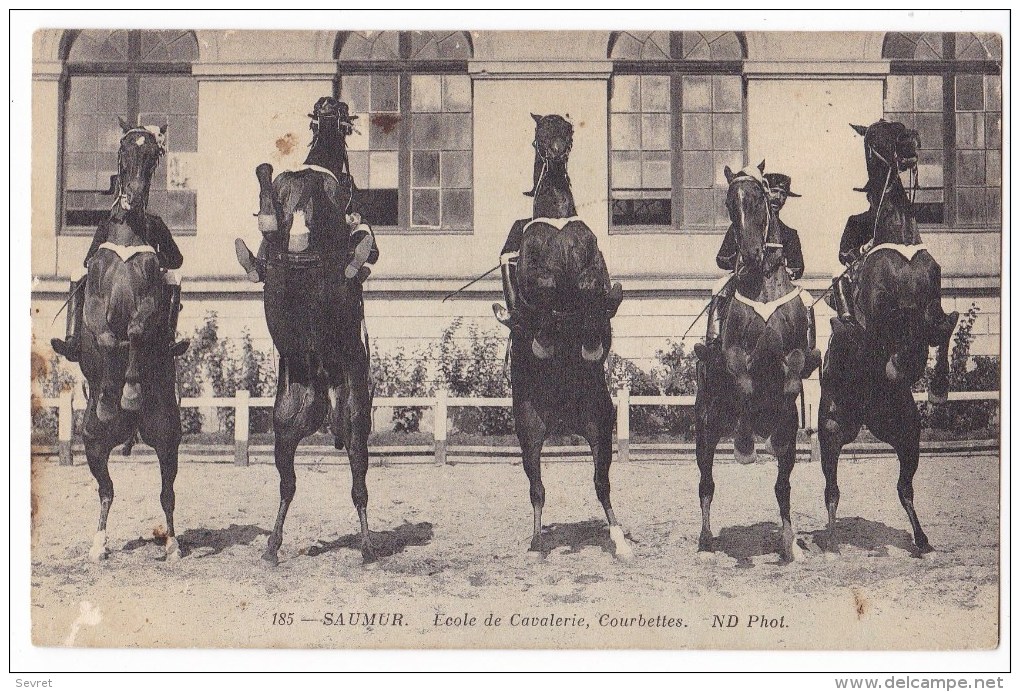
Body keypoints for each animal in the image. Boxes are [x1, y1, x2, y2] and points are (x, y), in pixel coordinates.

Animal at [693, 165, 820, 567]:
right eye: (729, 203)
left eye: (761, 199)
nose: (748, 255)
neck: (762, 285)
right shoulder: (735, 355)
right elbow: (745, 384)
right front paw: (746, 442)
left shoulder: (793, 354)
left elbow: (793, 376)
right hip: (705, 430)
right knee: (706, 484)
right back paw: (706, 542)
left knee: (782, 486)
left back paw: (789, 543)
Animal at [816, 120, 958, 559]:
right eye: (876, 135)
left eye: (906, 127)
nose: (910, 147)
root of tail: (865, 417)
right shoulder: (878, 316)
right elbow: (894, 329)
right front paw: (898, 364)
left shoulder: (931, 302)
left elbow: (941, 326)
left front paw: (938, 383)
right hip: (831, 432)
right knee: (832, 491)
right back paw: (831, 541)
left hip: (907, 436)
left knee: (904, 488)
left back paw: (923, 541)